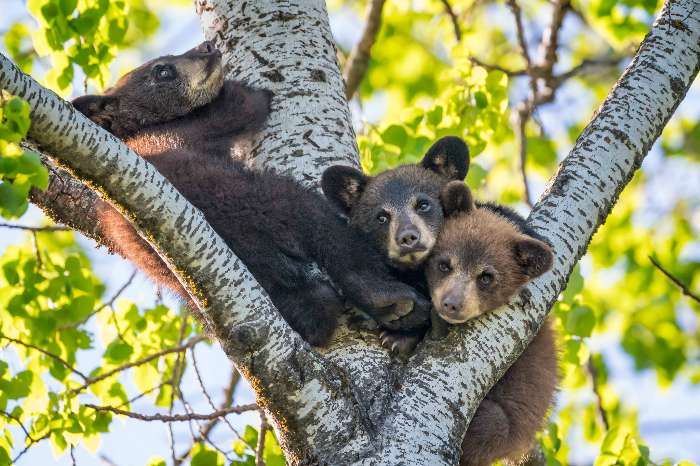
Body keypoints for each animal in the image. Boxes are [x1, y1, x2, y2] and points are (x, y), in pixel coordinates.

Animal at [72, 42, 426, 346]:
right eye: (162, 71)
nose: (207, 47)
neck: (138, 131)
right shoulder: (198, 126)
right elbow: (244, 103)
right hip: (261, 200)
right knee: (323, 227)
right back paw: (388, 298)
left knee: (308, 307)